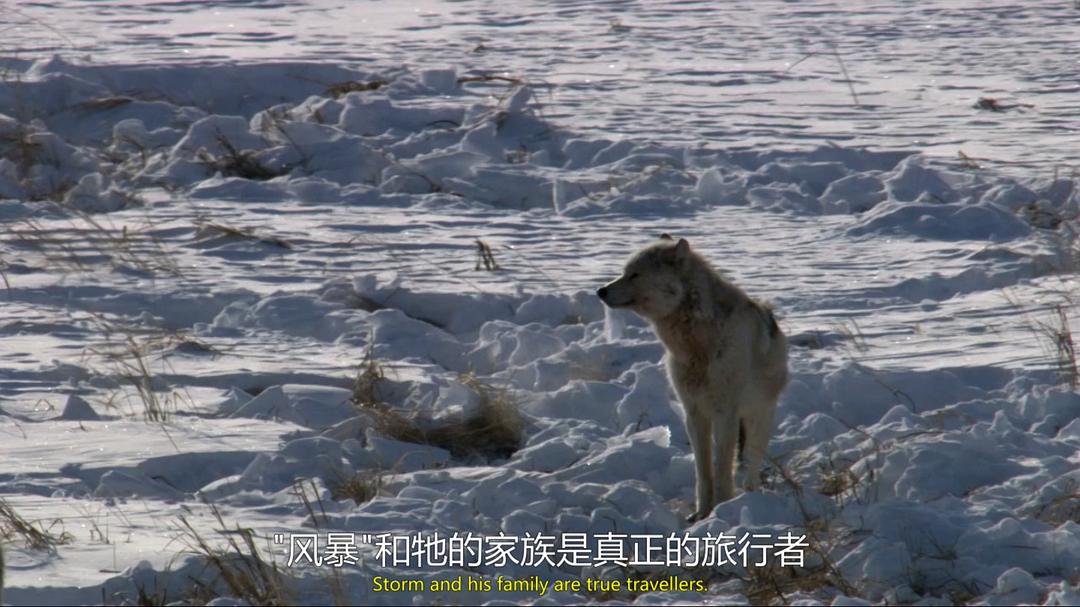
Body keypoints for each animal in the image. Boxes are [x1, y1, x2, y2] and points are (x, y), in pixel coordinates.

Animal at [597, 235, 788, 521]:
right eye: (624, 272)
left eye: (635, 274)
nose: (600, 291)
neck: (696, 342)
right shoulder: (694, 412)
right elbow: (703, 471)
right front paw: (702, 514)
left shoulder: (725, 413)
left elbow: (721, 468)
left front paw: (722, 509)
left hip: (759, 418)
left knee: (752, 466)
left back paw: (750, 498)